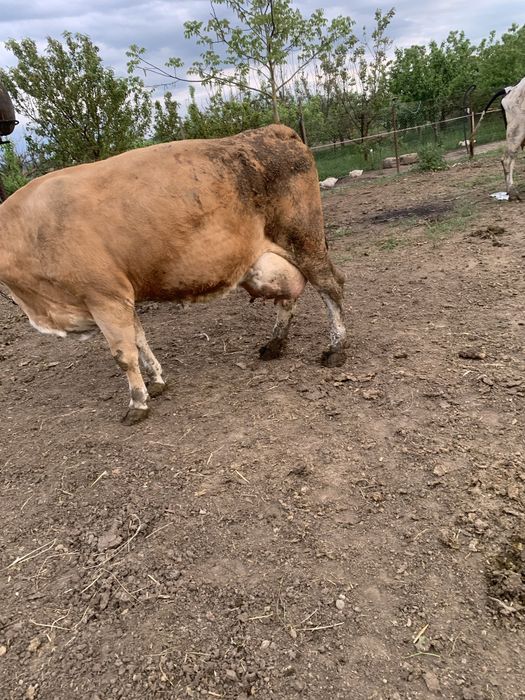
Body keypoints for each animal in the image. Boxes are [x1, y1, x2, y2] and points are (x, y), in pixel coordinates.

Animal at [0, 125, 346, 424]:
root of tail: (272, 130)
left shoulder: (104, 297)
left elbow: (124, 354)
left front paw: (137, 403)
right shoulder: (123, 296)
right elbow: (140, 340)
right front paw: (156, 382)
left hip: (305, 240)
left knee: (331, 286)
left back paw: (336, 348)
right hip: (273, 257)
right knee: (288, 296)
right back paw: (274, 345)